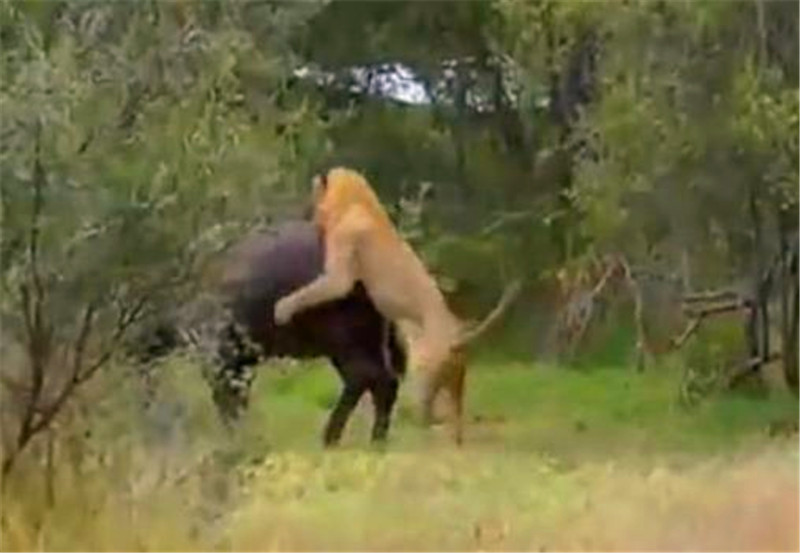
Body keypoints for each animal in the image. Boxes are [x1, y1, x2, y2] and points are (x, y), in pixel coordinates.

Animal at [272, 166, 516, 442]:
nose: (308, 211)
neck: (360, 203)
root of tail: (457, 337)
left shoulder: (340, 273)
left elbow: (314, 289)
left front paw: (282, 308)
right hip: (455, 384)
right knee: (454, 420)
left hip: (422, 374)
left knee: (421, 413)